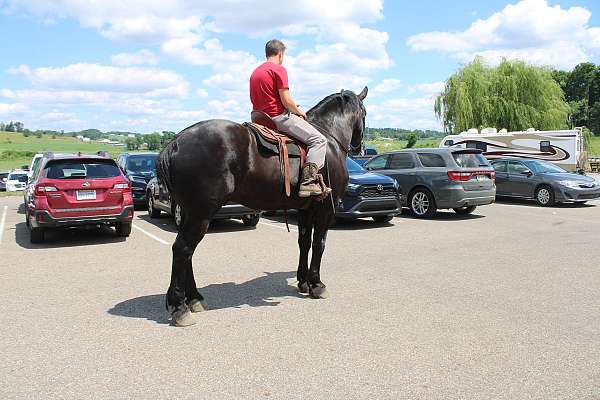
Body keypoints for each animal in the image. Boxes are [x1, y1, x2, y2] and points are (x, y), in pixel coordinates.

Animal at [157, 86, 368, 324]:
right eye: (365, 113)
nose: (359, 148)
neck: (328, 138)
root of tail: (176, 142)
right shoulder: (325, 209)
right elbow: (318, 244)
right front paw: (316, 284)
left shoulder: (306, 209)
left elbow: (304, 242)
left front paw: (303, 281)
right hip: (200, 214)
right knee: (182, 250)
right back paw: (179, 307)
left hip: (190, 213)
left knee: (187, 254)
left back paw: (193, 298)